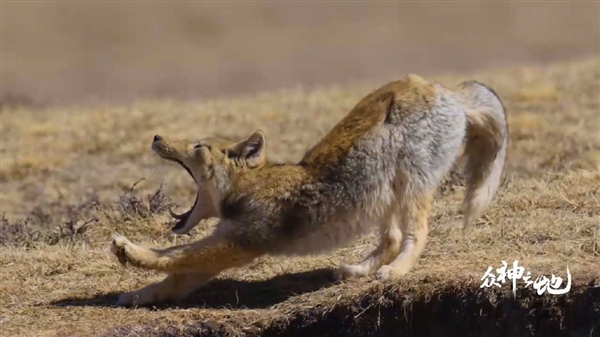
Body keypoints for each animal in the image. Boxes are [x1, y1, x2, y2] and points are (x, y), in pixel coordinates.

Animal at [111, 75, 506, 306]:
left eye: (198, 147)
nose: (156, 137)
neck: (248, 187)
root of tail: (445, 89)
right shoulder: (229, 243)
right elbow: (175, 276)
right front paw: (136, 295)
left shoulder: (240, 242)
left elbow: (175, 255)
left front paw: (129, 252)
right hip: (383, 194)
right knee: (392, 238)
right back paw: (359, 271)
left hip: (410, 186)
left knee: (416, 234)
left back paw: (395, 272)